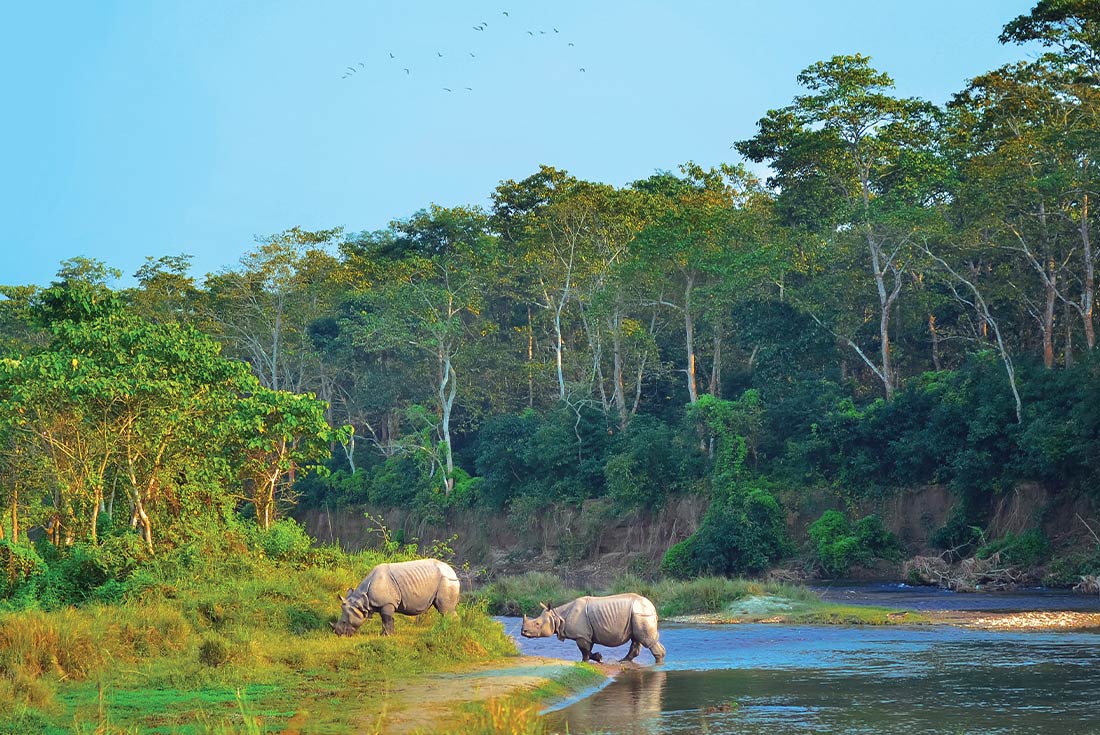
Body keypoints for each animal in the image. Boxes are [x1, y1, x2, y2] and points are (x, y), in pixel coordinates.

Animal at [521, 593, 666, 664]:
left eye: (537, 624)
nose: (523, 632)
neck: (558, 616)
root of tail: (653, 607)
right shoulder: (586, 635)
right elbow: (588, 649)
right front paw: (599, 658)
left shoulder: (581, 635)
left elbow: (584, 651)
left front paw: (585, 662)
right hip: (637, 615)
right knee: (637, 639)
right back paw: (622, 661)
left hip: (641, 614)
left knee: (646, 640)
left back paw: (658, 663)